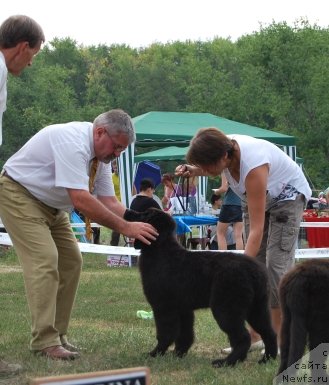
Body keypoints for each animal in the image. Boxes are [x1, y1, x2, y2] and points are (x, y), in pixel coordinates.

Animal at [124, 207, 276, 366]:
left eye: (145, 214)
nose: (127, 211)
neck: (160, 251)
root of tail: (255, 271)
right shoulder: (183, 308)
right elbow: (185, 335)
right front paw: (178, 354)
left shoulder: (163, 306)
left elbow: (165, 333)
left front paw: (156, 353)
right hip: (257, 308)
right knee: (269, 333)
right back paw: (266, 359)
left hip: (226, 308)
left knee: (243, 337)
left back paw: (226, 362)